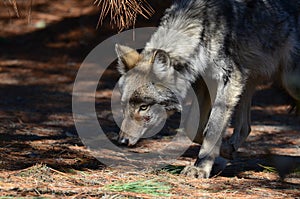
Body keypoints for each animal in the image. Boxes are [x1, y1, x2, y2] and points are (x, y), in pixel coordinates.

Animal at [113, 0, 298, 178]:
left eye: (144, 107)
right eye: (124, 106)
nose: (122, 141)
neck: (201, 29)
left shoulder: (229, 80)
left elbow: (213, 127)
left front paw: (201, 168)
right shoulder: (203, 84)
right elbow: (194, 129)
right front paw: (223, 151)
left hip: (289, 82)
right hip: (247, 83)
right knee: (245, 128)